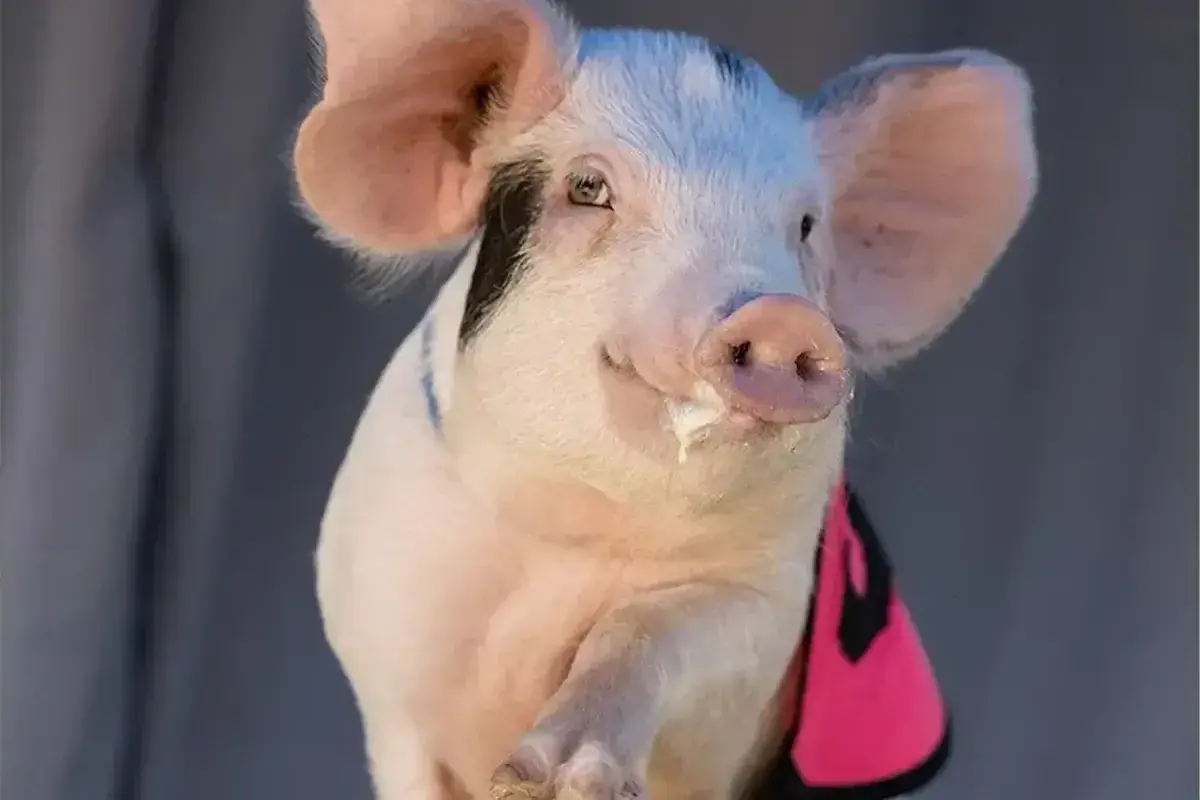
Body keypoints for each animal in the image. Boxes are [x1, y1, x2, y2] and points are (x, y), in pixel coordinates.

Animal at [290, 0, 1038, 798]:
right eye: (589, 188)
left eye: (806, 226)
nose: (780, 315)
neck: (576, 541)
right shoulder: (381, 633)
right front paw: (526, 782)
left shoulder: (771, 610)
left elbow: (651, 626)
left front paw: (562, 780)